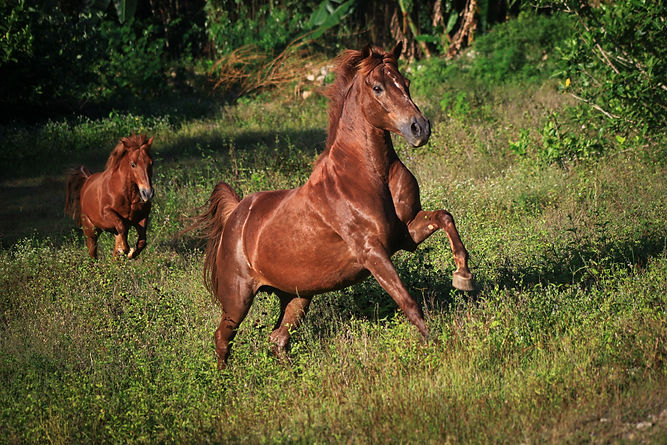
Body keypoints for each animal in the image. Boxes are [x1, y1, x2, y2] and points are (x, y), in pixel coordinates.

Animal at [195, 43, 473, 369]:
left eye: (406, 82)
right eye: (378, 87)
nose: (420, 128)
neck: (371, 175)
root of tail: (236, 213)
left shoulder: (405, 234)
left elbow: (444, 217)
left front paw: (463, 276)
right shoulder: (371, 251)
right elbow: (408, 301)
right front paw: (436, 346)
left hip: (297, 296)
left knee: (277, 339)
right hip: (237, 297)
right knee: (223, 337)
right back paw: (226, 378)